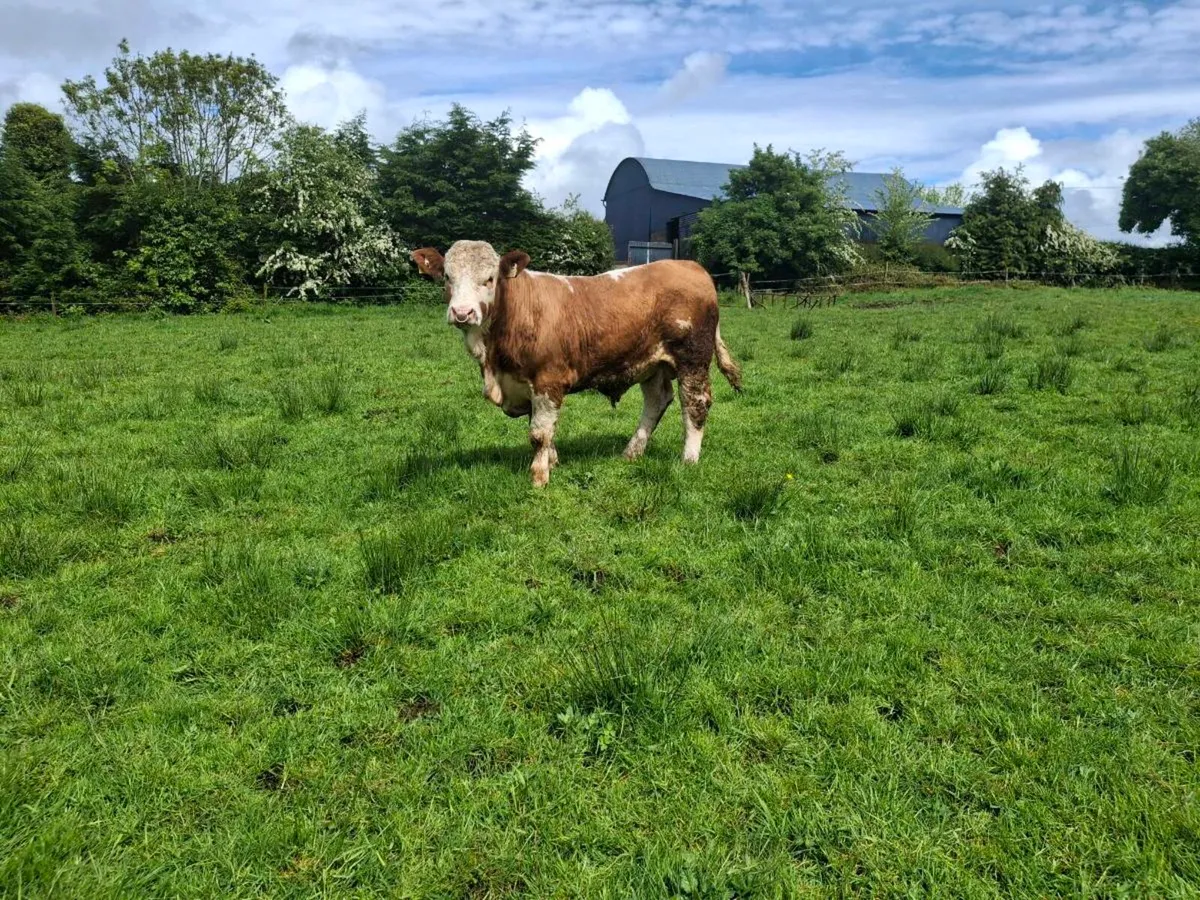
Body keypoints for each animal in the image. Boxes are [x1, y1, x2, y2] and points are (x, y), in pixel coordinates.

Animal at [411, 240, 742, 487]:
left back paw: (689, 460)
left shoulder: (547, 380)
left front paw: (539, 476)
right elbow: (544, 428)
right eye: (447, 277)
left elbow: (539, 433)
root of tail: (690, 266)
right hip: (651, 363)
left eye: (489, 278)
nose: (462, 312)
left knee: (695, 404)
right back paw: (632, 452)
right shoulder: (527, 386)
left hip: (692, 358)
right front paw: (553, 461)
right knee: (657, 400)